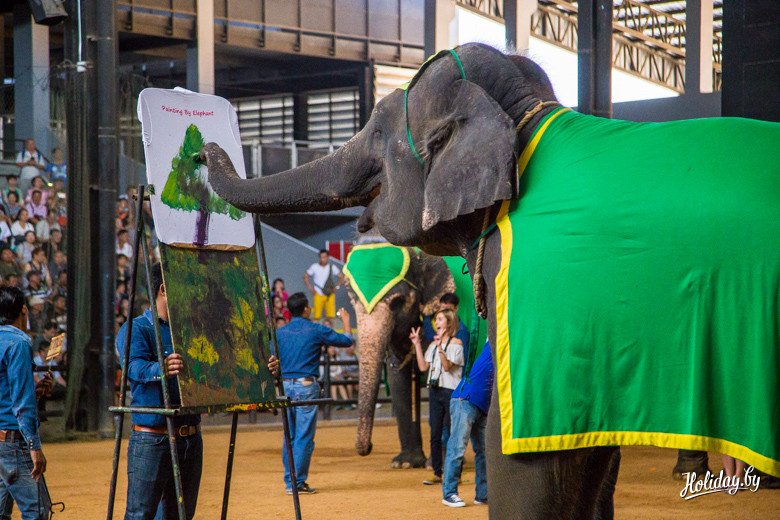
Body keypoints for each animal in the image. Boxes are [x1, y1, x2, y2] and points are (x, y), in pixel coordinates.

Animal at [202, 43, 780, 519]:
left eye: (380, 133)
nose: (203, 151)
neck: (522, 114)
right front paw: (405, 464)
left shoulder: (545, 297)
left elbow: (526, 455)